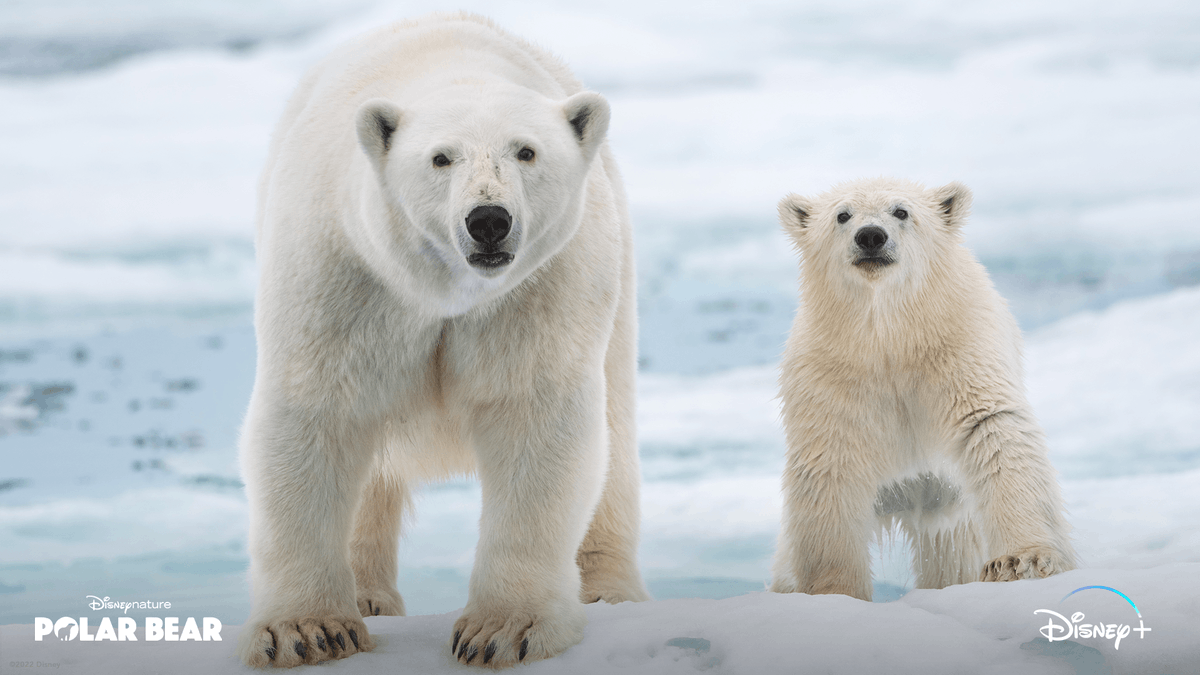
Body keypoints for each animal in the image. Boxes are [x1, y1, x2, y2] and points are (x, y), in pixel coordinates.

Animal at [234, 13, 649, 669]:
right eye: (440, 158)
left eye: (526, 150)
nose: (489, 221)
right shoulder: (345, 275)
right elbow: (315, 415)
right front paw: (306, 631)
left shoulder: (539, 290)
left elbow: (536, 421)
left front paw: (501, 631)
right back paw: (369, 597)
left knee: (614, 431)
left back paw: (608, 590)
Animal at [769, 177, 1077, 601]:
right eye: (842, 215)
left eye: (901, 211)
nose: (871, 236)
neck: (893, 337)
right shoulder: (830, 374)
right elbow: (830, 469)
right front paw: (835, 591)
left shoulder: (959, 349)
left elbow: (992, 429)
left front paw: (1021, 560)